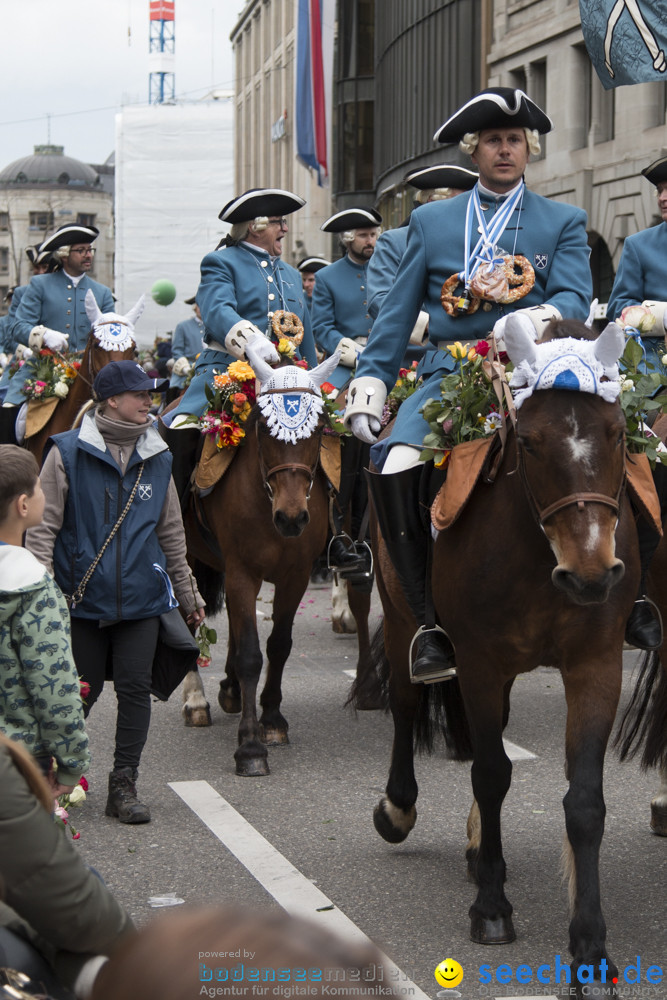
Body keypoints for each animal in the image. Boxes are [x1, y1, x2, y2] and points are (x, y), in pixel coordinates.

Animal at [181, 348, 380, 776]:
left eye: (318, 427)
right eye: (263, 427)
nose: (292, 518)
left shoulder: (295, 574)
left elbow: (278, 645)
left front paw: (271, 719)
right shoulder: (242, 572)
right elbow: (251, 655)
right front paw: (250, 746)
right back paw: (196, 700)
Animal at [368, 320, 648, 984]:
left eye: (616, 433)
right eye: (532, 442)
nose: (591, 575)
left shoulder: (596, 665)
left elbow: (584, 802)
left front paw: (590, 947)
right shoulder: (478, 662)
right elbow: (492, 772)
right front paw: (492, 908)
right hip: (401, 618)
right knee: (407, 705)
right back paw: (398, 809)